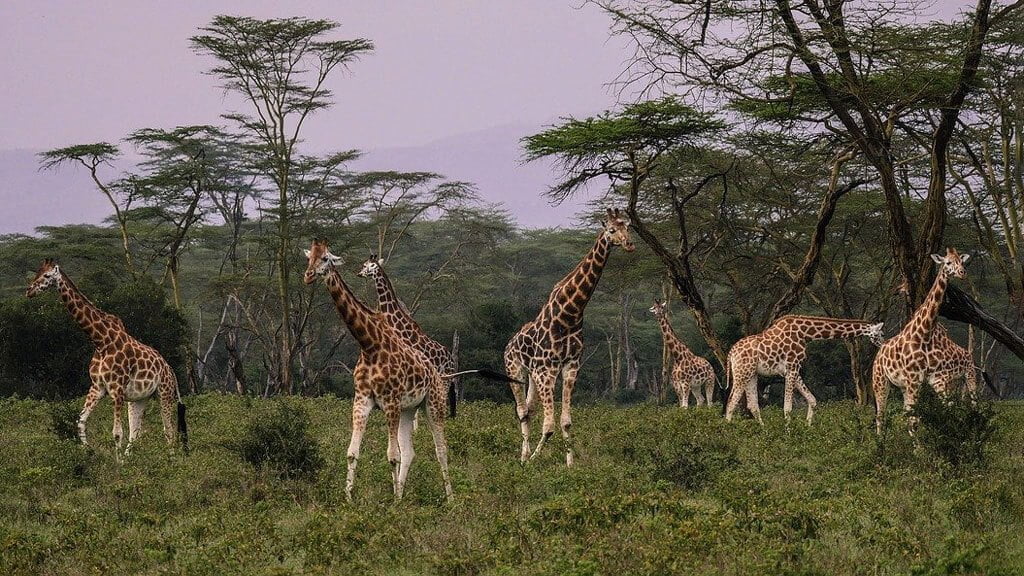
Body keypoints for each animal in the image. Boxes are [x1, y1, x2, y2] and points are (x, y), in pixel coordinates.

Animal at [26, 259, 188, 456]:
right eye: (37, 272)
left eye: (47, 275)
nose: (29, 290)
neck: (100, 342)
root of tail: (170, 370)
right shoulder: (97, 387)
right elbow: (80, 423)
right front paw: (90, 452)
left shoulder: (116, 388)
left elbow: (117, 432)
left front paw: (117, 462)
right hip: (139, 399)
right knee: (136, 432)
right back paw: (131, 459)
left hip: (164, 393)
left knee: (168, 430)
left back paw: (171, 460)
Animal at [505, 208, 635, 466]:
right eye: (611, 230)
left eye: (628, 226)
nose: (629, 244)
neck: (570, 314)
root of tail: (509, 343)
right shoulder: (547, 370)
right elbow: (549, 426)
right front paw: (533, 459)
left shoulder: (570, 366)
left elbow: (565, 421)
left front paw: (570, 465)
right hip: (515, 370)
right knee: (522, 411)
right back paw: (523, 458)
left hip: (532, 375)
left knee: (529, 410)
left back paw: (524, 455)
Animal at [724, 315, 885, 425]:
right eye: (881, 333)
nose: (883, 344)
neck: (806, 334)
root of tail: (731, 353)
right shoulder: (792, 366)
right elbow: (788, 407)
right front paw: (788, 433)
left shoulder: (792, 369)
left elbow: (812, 400)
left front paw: (808, 427)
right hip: (742, 373)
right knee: (731, 402)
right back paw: (727, 433)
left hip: (751, 374)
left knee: (752, 405)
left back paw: (763, 431)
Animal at [872, 248, 971, 433]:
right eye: (948, 262)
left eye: (962, 262)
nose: (962, 273)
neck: (924, 334)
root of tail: (880, 351)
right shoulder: (913, 379)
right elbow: (914, 419)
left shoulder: (927, 379)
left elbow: (918, 416)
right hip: (880, 381)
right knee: (880, 415)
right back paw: (879, 440)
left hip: (903, 386)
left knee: (902, 413)